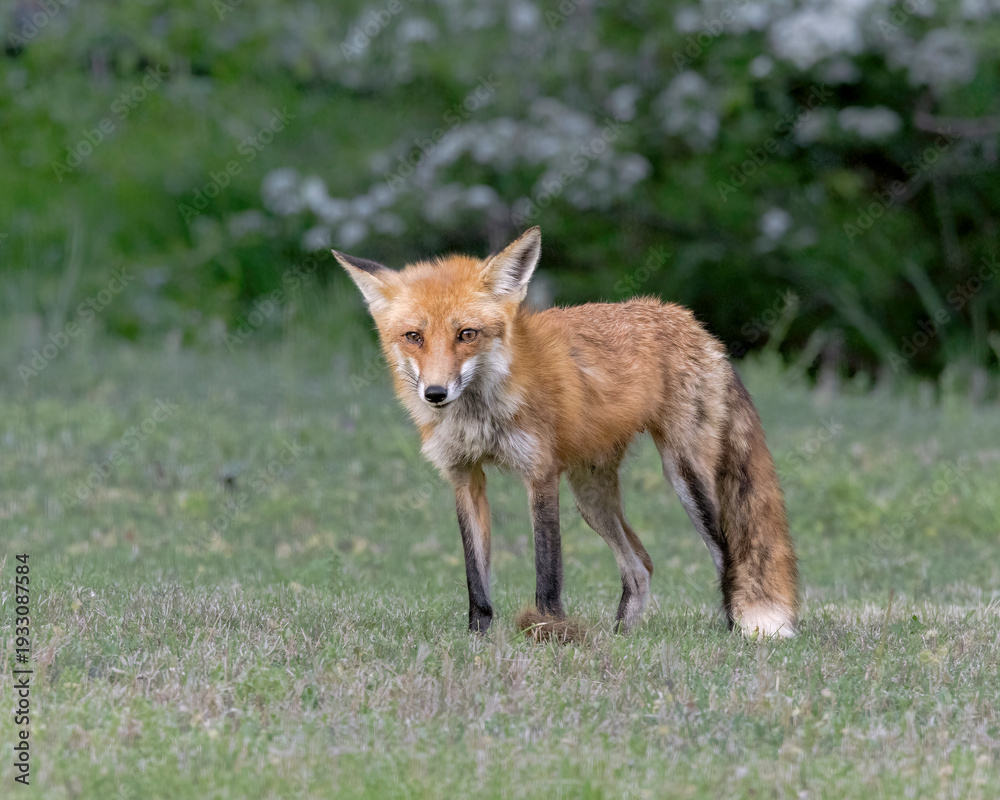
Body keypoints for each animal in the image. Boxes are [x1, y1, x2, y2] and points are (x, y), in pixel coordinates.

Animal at [335, 227, 799, 638]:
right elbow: (476, 578)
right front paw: (478, 640)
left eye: (466, 334)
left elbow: (548, 569)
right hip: (591, 497)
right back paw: (620, 636)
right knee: (640, 565)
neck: (481, 415)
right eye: (413, 336)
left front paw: (548, 632)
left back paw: (733, 632)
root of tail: (684, 316)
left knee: (727, 557)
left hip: (685, 478)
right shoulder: (464, 476)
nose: (435, 393)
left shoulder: (540, 473)